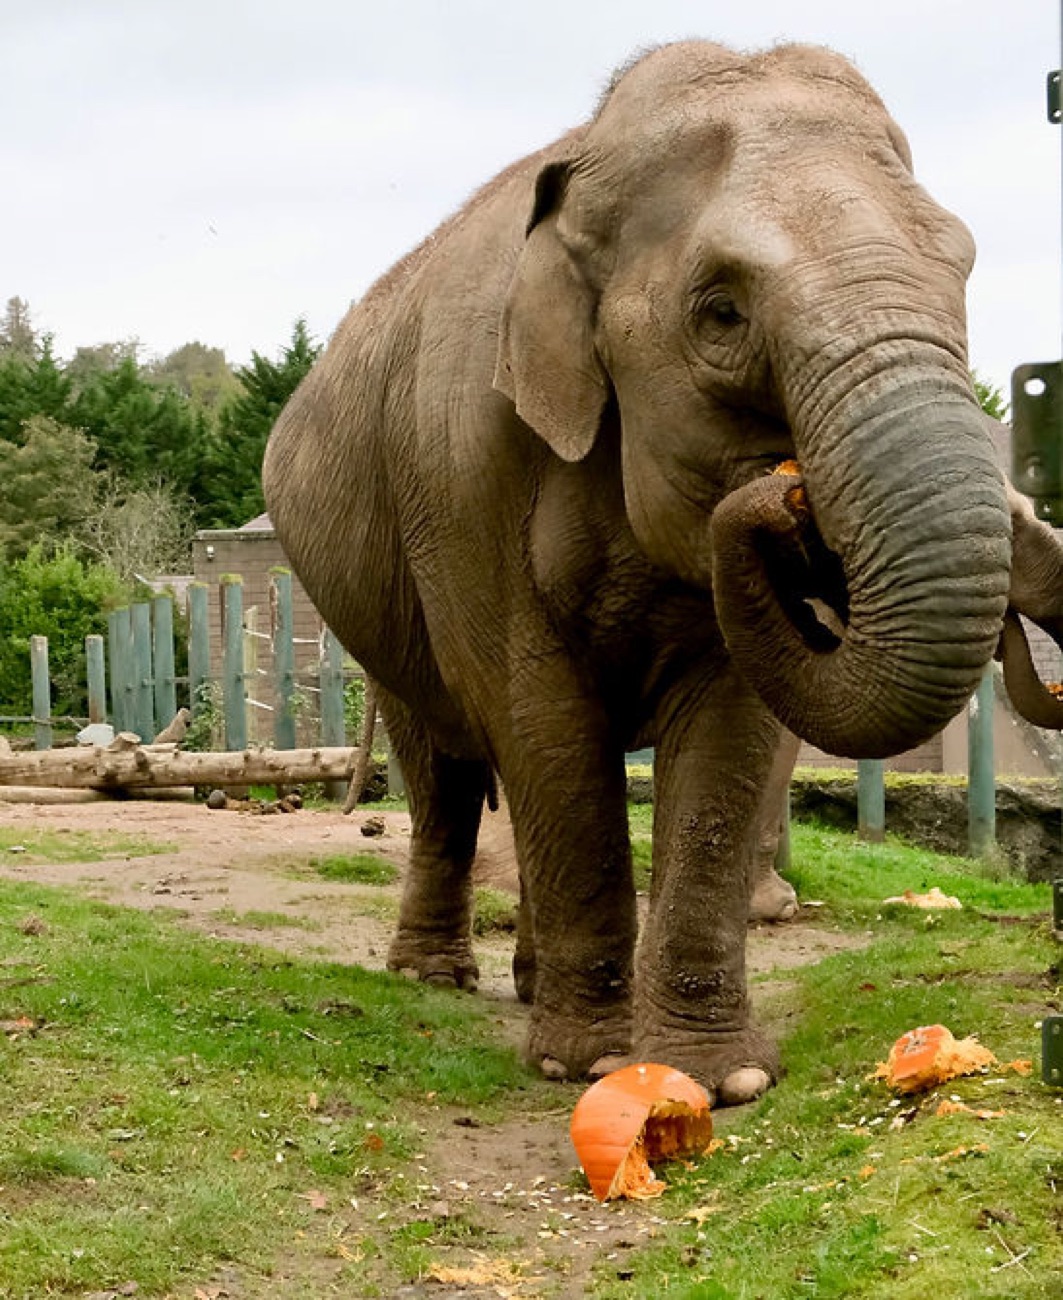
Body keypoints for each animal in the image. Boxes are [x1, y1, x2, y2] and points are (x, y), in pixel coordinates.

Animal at [264, 40, 1024, 1106]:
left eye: (960, 264)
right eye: (721, 312)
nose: (781, 497)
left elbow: (730, 730)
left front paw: (717, 1079)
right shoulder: (460, 472)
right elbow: (541, 716)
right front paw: (583, 1065)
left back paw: (526, 981)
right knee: (447, 764)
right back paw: (435, 978)